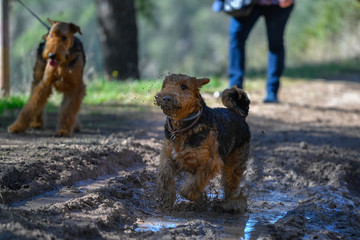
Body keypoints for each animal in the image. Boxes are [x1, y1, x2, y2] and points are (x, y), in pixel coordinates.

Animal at [155, 73, 250, 210]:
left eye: (184, 86)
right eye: (164, 85)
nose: (166, 98)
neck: (182, 128)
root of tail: (240, 115)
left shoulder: (210, 163)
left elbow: (193, 184)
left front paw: (194, 196)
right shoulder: (167, 156)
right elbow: (165, 174)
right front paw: (167, 198)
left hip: (234, 163)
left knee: (231, 185)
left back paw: (231, 204)